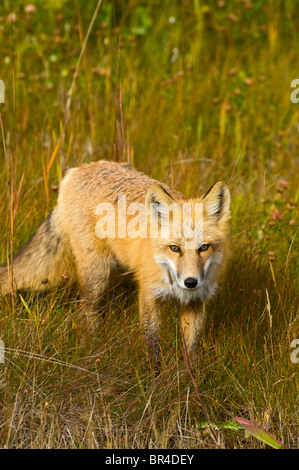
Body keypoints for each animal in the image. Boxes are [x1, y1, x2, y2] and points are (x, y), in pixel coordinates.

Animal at [0, 162, 232, 360]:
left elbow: (191, 353)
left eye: (204, 247)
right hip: (97, 276)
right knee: (86, 312)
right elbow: (152, 349)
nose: (190, 282)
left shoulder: (195, 303)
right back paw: (92, 348)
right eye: (174, 248)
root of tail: (76, 171)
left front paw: (190, 382)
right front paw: (154, 380)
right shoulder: (149, 296)